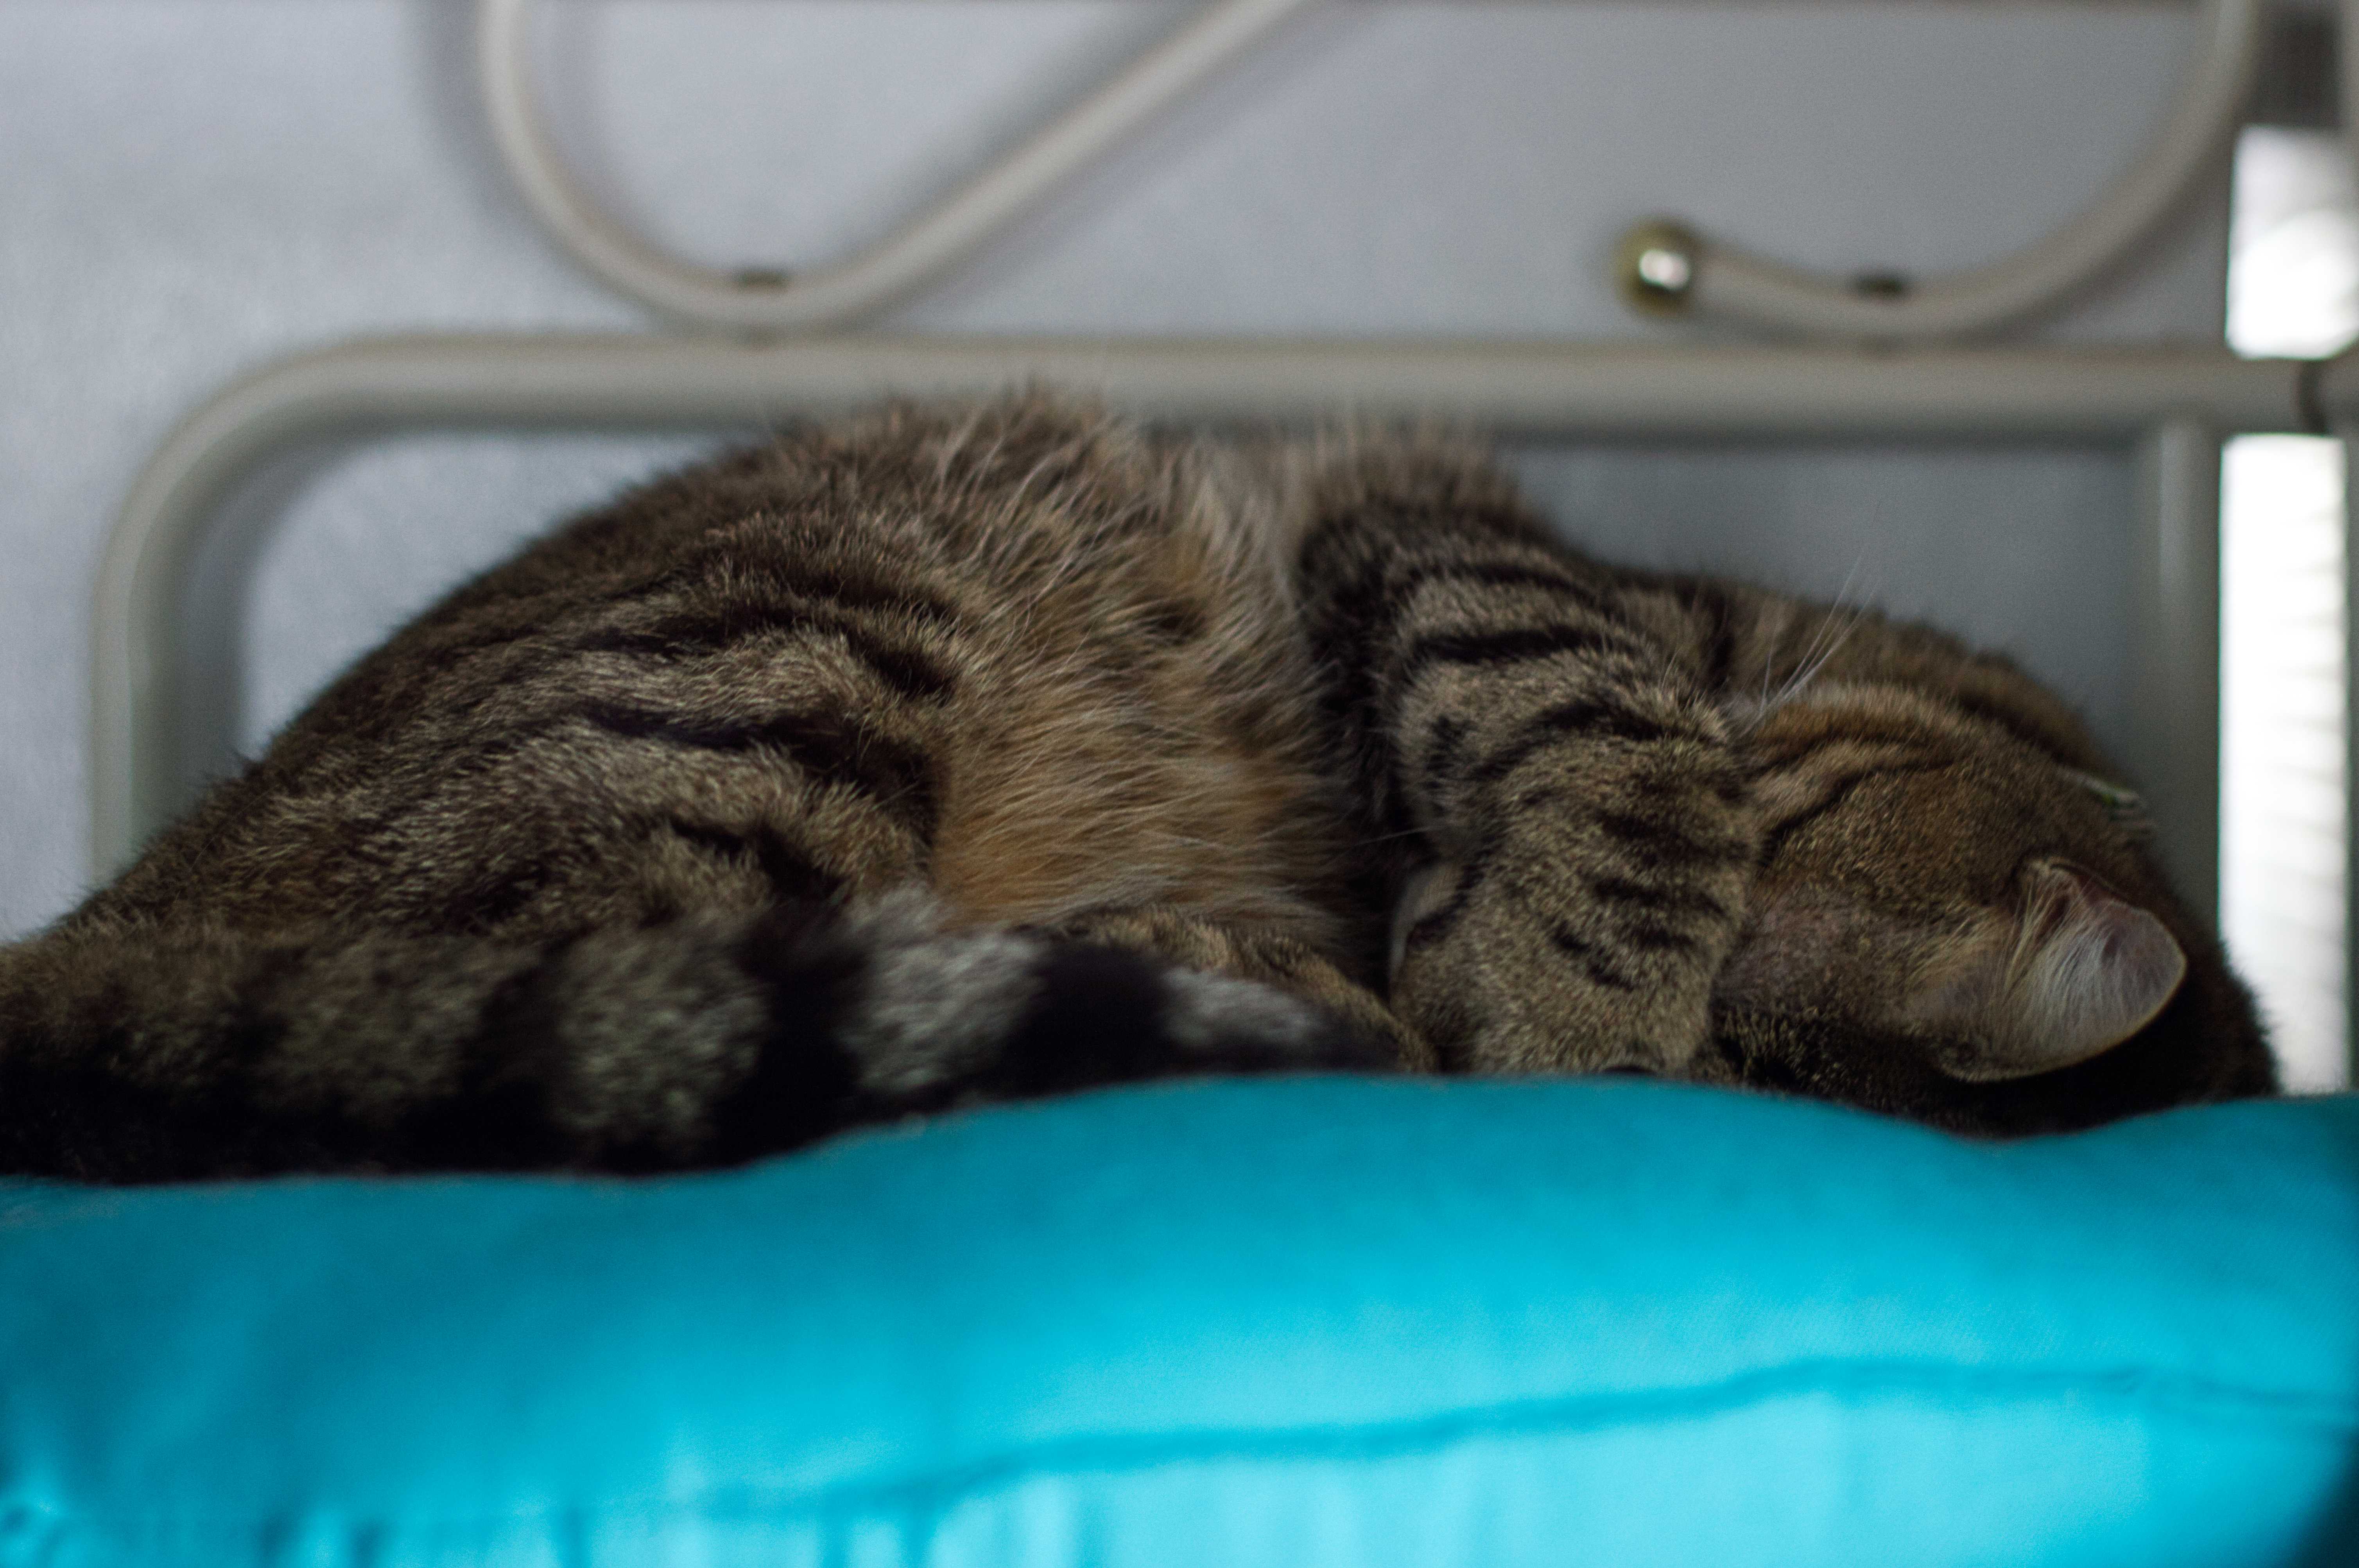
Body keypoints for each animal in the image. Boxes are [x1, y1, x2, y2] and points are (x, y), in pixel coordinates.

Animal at [4, 391, 2283, 1174]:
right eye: (1727, 955)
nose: (1419, 944)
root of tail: (108, 923)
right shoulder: (1460, 555)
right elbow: (1612, 735)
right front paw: (1559, 994)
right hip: (796, 640)